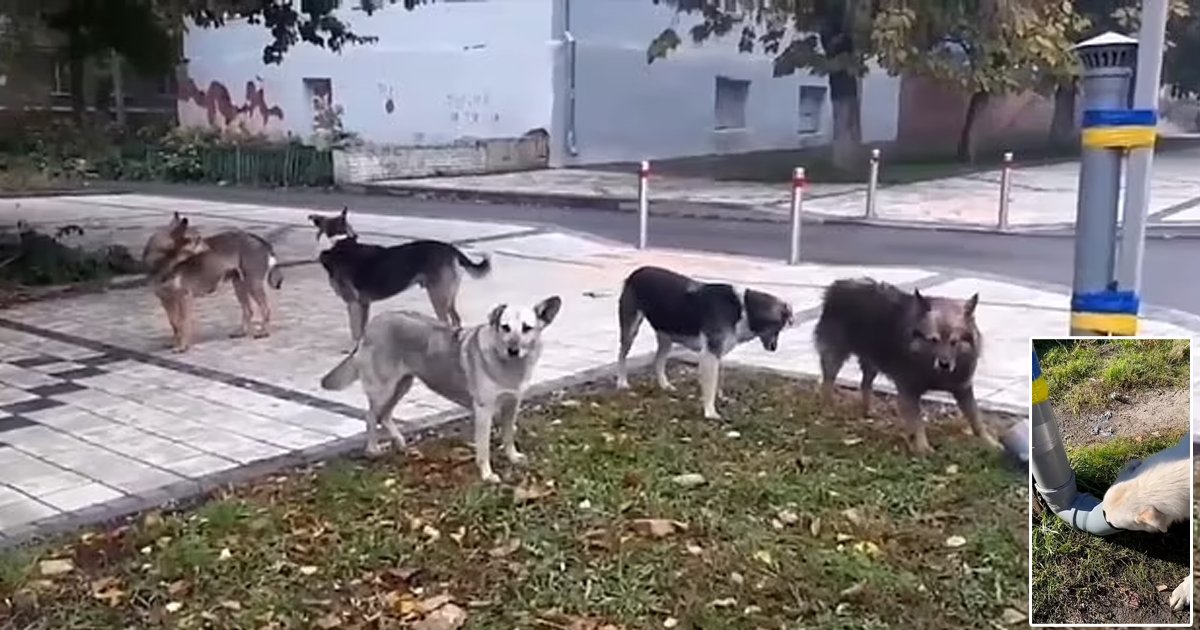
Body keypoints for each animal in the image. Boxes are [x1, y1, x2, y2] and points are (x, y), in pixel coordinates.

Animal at [141, 214, 282, 352]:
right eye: (198, 239)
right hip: (239, 284)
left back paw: (263, 332)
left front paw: (182, 346)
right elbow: (174, 324)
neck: (164, 263)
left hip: (253, 284)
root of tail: (259, 240)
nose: (210, 248)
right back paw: (241, 332)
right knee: (248, 310)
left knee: (265, 309)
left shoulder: (184, 297)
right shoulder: (166, 300)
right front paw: (174, 342)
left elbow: (183, 323)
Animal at [319, 295, 561, 482]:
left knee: (384, 415)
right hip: (384, 388)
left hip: (402, 384)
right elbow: (483, 448)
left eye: (527, 329)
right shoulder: (484, 411)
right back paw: (373, 451)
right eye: (505, 328)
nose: (513, 350)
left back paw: (400, 443)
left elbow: (509, 436)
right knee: (370, 417)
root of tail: (371, 325)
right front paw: (487, 475)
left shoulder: (512, 405)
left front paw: (513, 457)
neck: (509, 366)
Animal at [614, 265, 792, 417]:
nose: (774, 348)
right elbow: (710, 386)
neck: (743, 310)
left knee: (658, 360)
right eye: (778, 328)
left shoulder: (717, 354)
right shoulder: (709, 355)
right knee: (622, 355)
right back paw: (622, 382)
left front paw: (721, 399)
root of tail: (636, 272)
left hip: (667, 336)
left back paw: (664, 385)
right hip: (631, 330)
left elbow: (717, 382)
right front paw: (710, 412)